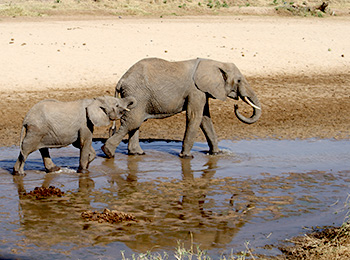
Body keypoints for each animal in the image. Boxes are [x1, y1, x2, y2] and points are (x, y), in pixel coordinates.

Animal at [101, 57, 260, 157]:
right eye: (239, 80)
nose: (236, 105)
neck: (216, 62)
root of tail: (121, 81)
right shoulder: (196, 90)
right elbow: (195, 117)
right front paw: (186, 157)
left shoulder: (202, 91)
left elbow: (205, 119)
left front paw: (216, 154)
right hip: (137, 94)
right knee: (132, 122)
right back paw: (108, 152)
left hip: (138, 96)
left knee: (135, 122)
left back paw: (137, 153)